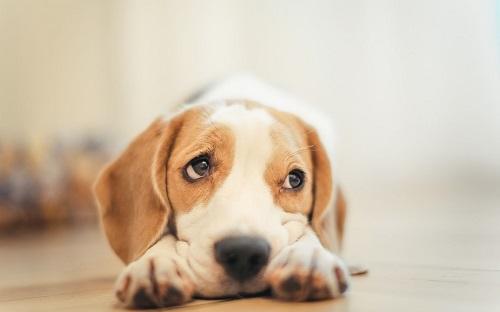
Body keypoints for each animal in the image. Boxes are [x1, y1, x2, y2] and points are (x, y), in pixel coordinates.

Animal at [94, 76, 352, 310]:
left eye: (294, 179)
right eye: (199, 167)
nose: (244, 252)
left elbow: (309, 229)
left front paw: (308, 256)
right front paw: (156, 262)